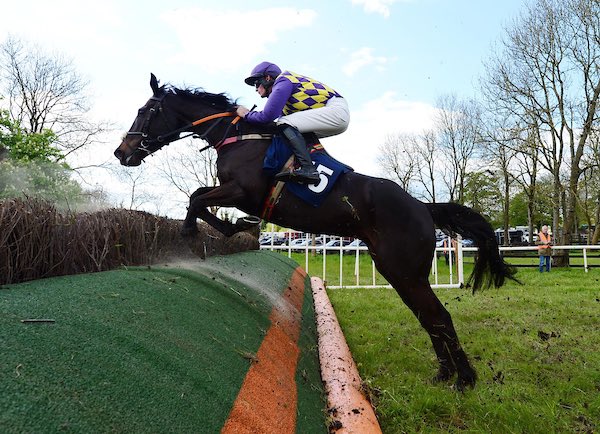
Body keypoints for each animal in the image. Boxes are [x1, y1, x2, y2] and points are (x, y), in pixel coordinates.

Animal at [113, 74, 516, 390]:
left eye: (145, 111)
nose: (122, 152)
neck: (238, 136)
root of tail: (422, 206)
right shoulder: (236, 192)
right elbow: (199, 196)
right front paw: (235, 227)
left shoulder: (244, 191)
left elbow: (196, 199)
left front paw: (195, 233)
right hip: (398, 271)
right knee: (427, 316)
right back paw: (444, 374)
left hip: (403, 269)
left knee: (439, 316)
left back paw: (465, 379)